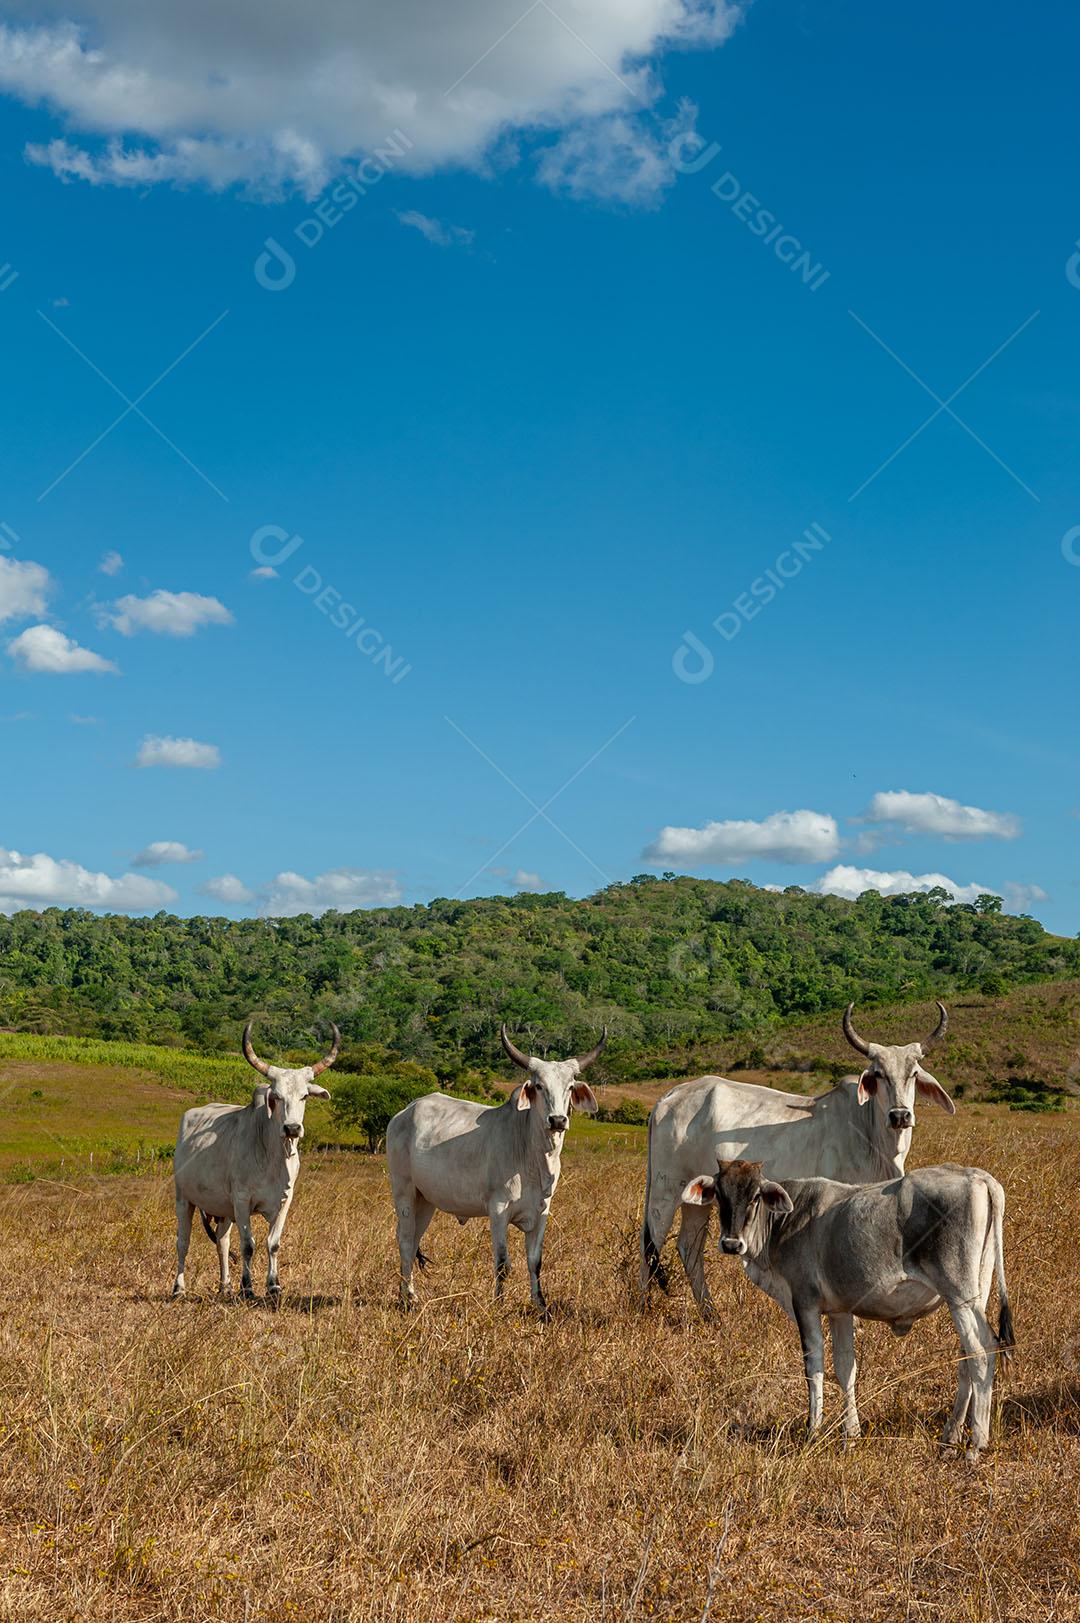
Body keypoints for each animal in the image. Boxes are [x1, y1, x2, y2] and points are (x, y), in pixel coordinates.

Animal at [170, 1019, 339, 1298]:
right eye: (276, 1096)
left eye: (304, 1095)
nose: (292, 1128)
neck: (272, 1158)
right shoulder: (241, 1200)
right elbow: (248, 1245)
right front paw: (247, 1287)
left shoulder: (284, 1200)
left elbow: (273, 1243)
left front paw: (273, 1285)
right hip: (184, 1199)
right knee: (183, 1242)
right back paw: (178, 1288)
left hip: (223, 1209)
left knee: (222, 1241)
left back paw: (225, 1285)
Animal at [384, 1032, 607, 1311]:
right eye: (539, 1086)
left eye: (569, 1086)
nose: (557, 1120)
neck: (533, 1159)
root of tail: (405, 1112)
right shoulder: (498, 1210)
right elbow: (502, 1263)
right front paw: (499, 1304)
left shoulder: (542, 1212)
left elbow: (535, 1262)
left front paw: (540, 1305)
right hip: (403, 1190)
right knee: (404, 1240)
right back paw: (406, 1299)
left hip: (425, 1200)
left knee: (413, 1239)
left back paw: (411, 1293)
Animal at [639, 999, 954, 1317]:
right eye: (878, 1074)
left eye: (914, 1074)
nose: (900, 1115)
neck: (872, 1137)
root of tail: (670, 1096)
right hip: (666, 1189)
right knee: (651, 1242)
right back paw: (642, 1308)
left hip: (698, 1199)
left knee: (688, 1247)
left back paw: (711, 1315)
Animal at [682, 1155, 1013, 1460]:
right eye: (720, 1194)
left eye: (754, 1196)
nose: (731, 1244)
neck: (786, 1222)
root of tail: (975, 1175)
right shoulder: (840, 1312)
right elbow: (845, 1369)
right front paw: (850, 1435)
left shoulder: (805, 1303)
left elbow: (814, 1368)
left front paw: (813, 1431)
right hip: (975, 1296)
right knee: (967, 1358)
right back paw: (951, 1437)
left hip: (960, 1295)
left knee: (981, 1352)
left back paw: (975, 1445)